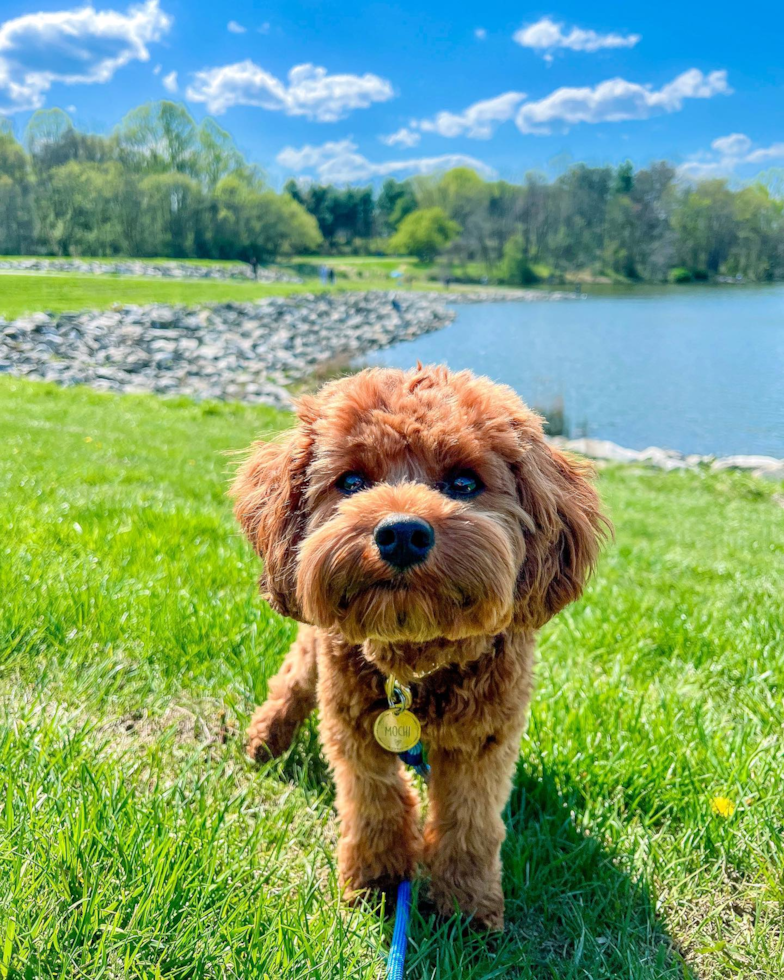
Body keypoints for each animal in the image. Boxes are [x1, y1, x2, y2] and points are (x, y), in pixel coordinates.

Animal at [230, 364, 608, 932]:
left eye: (465, 482)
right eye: (352, 482)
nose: (403, 533)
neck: (413, 664)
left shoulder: (484, 740)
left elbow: (470, 821)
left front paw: (469, 907)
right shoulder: (354, 725)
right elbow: (375, 800)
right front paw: (377, 883)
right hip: (313, 648)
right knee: (292, 681)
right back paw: (265, 740)